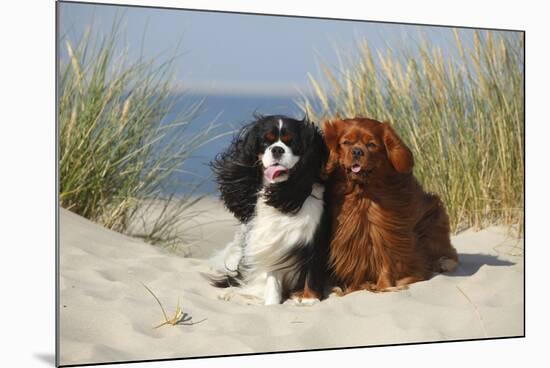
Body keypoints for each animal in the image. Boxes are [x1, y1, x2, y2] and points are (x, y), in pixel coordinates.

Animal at [207, 114, 328, 304]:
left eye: (292, 142)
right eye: (265, 142)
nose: (277, 149)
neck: (280, 191)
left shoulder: (316, 239)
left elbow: (312, 271)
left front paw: (310, 300)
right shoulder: (271, 242)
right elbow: (273, 279)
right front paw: (272, 303)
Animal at [326, 118, 460, 294]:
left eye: (371, 144)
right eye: (346, 143)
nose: (357, 152)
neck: (362, 194)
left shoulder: (386, 234)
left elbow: (387, 263)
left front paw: (385, 286)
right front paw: (352, 289)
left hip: (434, 218)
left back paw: (442, 263)